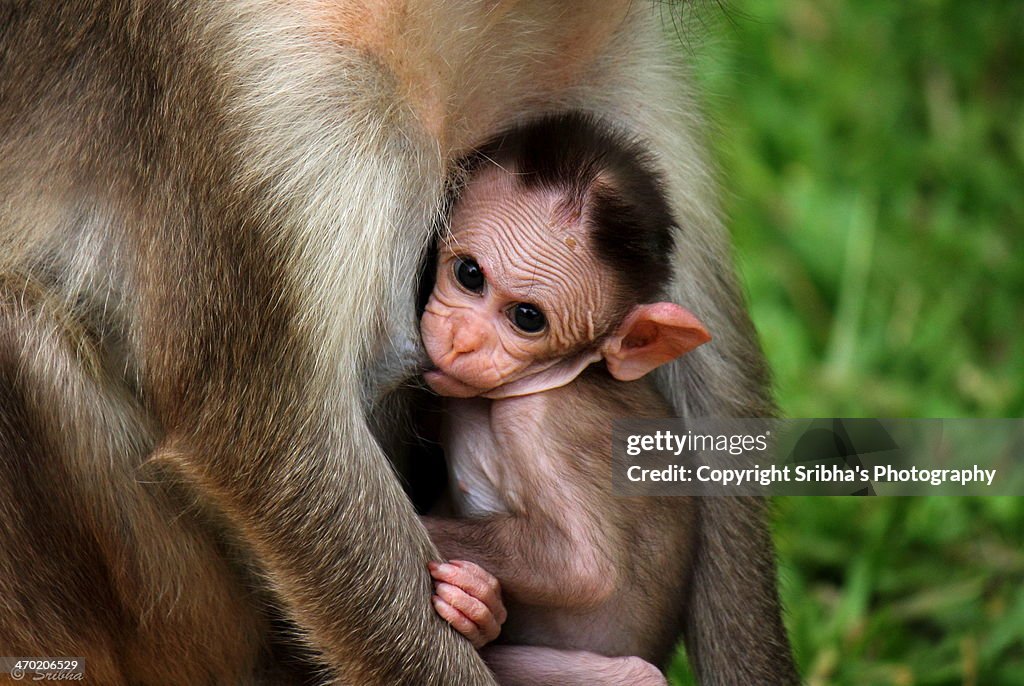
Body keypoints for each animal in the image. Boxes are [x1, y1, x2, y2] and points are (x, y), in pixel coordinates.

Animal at [419, 115, 708, 683]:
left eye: (528, 318)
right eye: (469, 274)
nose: (462, 341)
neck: (552, 378)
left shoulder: (542, 428)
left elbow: (583, 569)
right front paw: (480, 609)